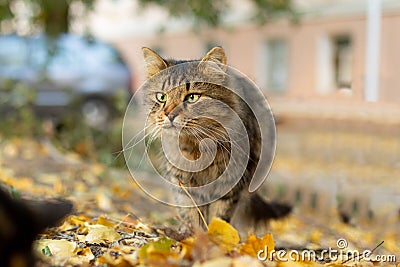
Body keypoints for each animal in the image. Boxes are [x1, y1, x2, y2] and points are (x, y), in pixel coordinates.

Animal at [141, 46, 290, 237]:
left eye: (192, 97)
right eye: (161, 97)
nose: (169, 114)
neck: (196, 146)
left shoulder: (231, 182)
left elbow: (219, 216)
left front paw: (216, 237)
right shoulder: (183, 181)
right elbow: (191, 212)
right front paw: (191, 237)